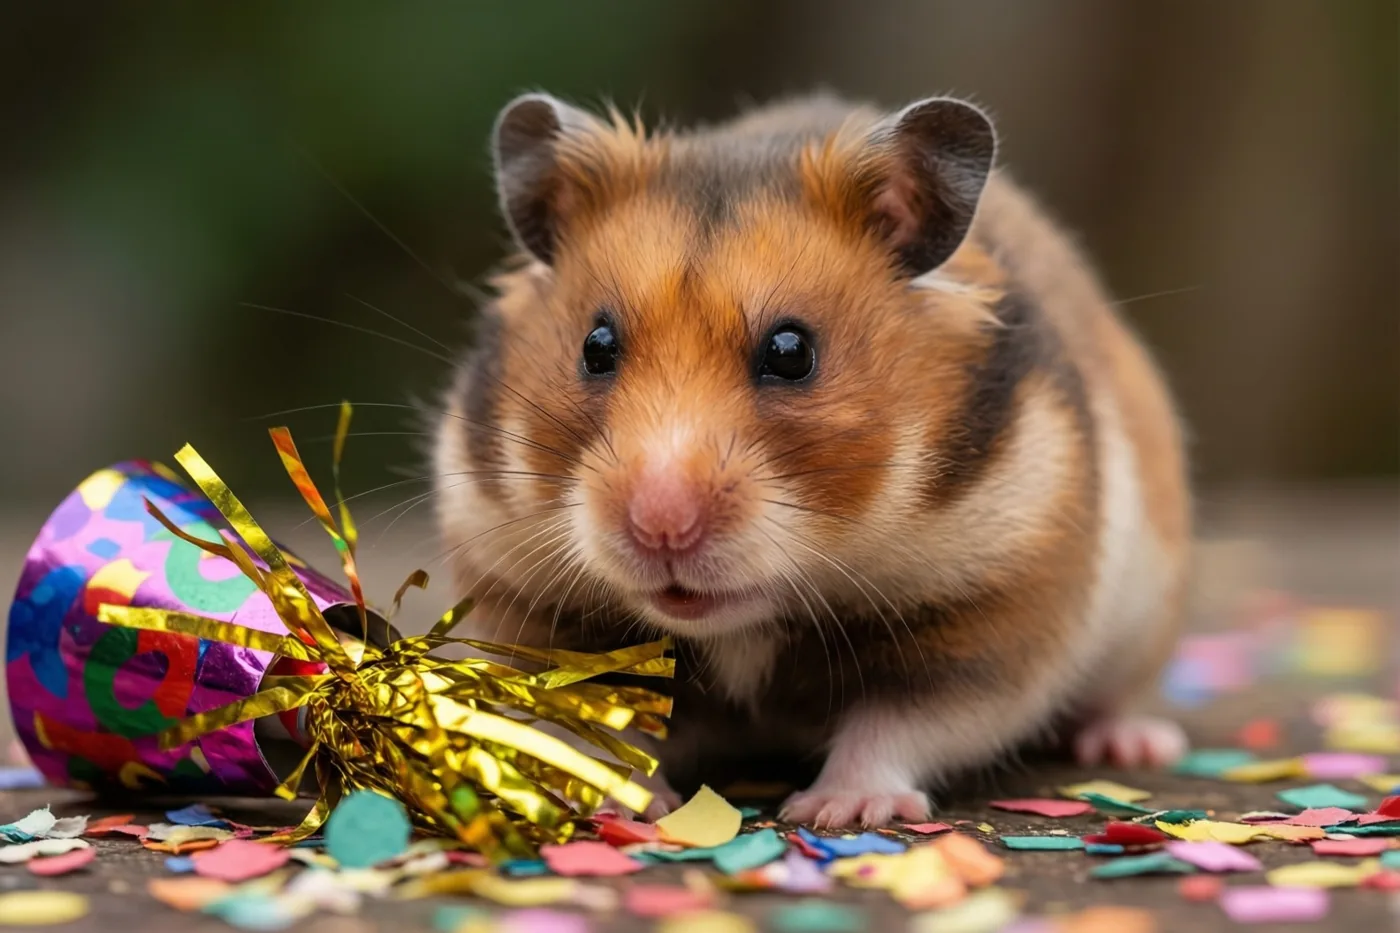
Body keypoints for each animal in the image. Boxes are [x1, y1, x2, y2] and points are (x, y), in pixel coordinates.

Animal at [432, 91, 1192, 828]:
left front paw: (835, 810)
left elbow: (897, 724)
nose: (661, 528)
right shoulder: (527, 601)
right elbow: (600, 725)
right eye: (596, 346)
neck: (746, 619)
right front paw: (617, 804)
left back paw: (1133, 743)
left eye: (791, 351)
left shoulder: (996, 610)